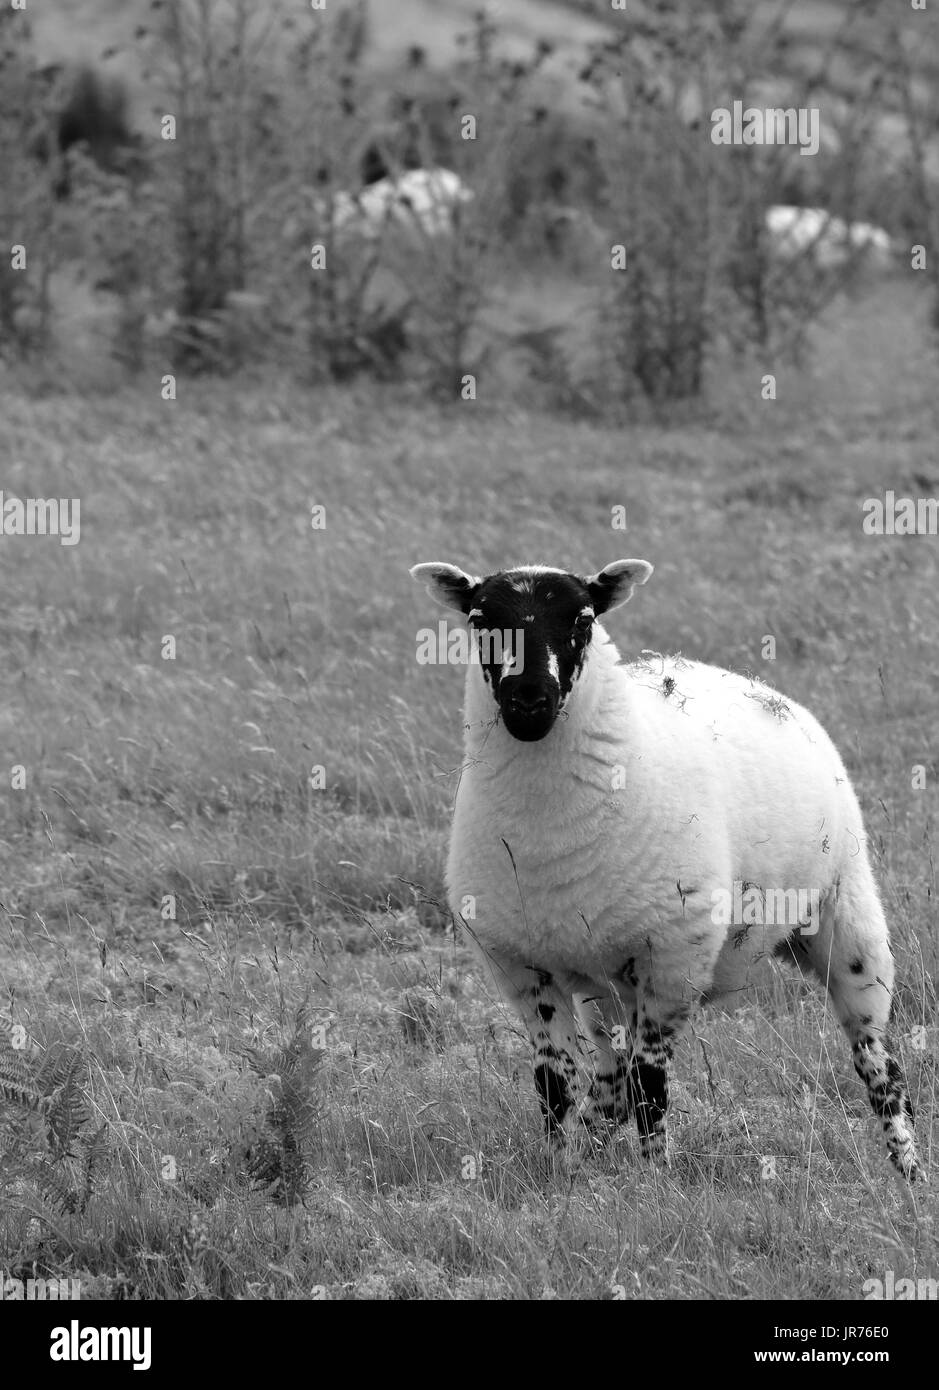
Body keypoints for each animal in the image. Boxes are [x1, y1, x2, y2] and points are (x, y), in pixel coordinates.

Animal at [410, 558, 921, 1181]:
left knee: (877, 1060)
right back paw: (593, 1142)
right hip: (604, 982)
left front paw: (656, 1177)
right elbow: (556, 1082)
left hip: (847, 915)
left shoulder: (675, 958)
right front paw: (560, 1170)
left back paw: (909, 1172)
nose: (529, 701)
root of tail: (756, 685)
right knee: (610, 1071)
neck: (551, 840)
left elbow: (650, 1085)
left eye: (583, 618)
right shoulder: (520, 968)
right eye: (480, 619)